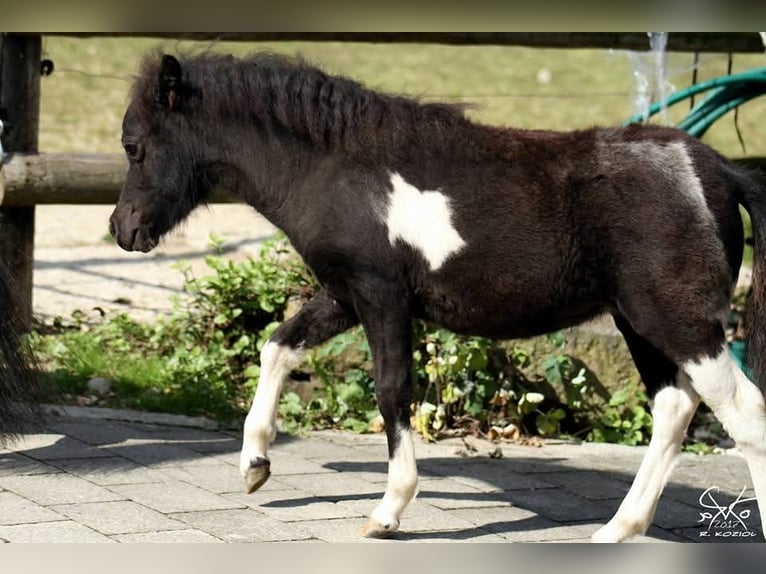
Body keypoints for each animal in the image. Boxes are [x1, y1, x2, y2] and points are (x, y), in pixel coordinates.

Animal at [109, 51, 766, 542]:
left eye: (133, 145)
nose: (123, 229)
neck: (341, 172)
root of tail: (721, 172)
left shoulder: (381, 297)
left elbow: (392, 390)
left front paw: (387, 512)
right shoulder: (344, 294)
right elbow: (278, 347)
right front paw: (254, 466)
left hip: (678, 320)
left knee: (743, 413)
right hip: (639, 321)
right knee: (675, 409)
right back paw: (617, 529)